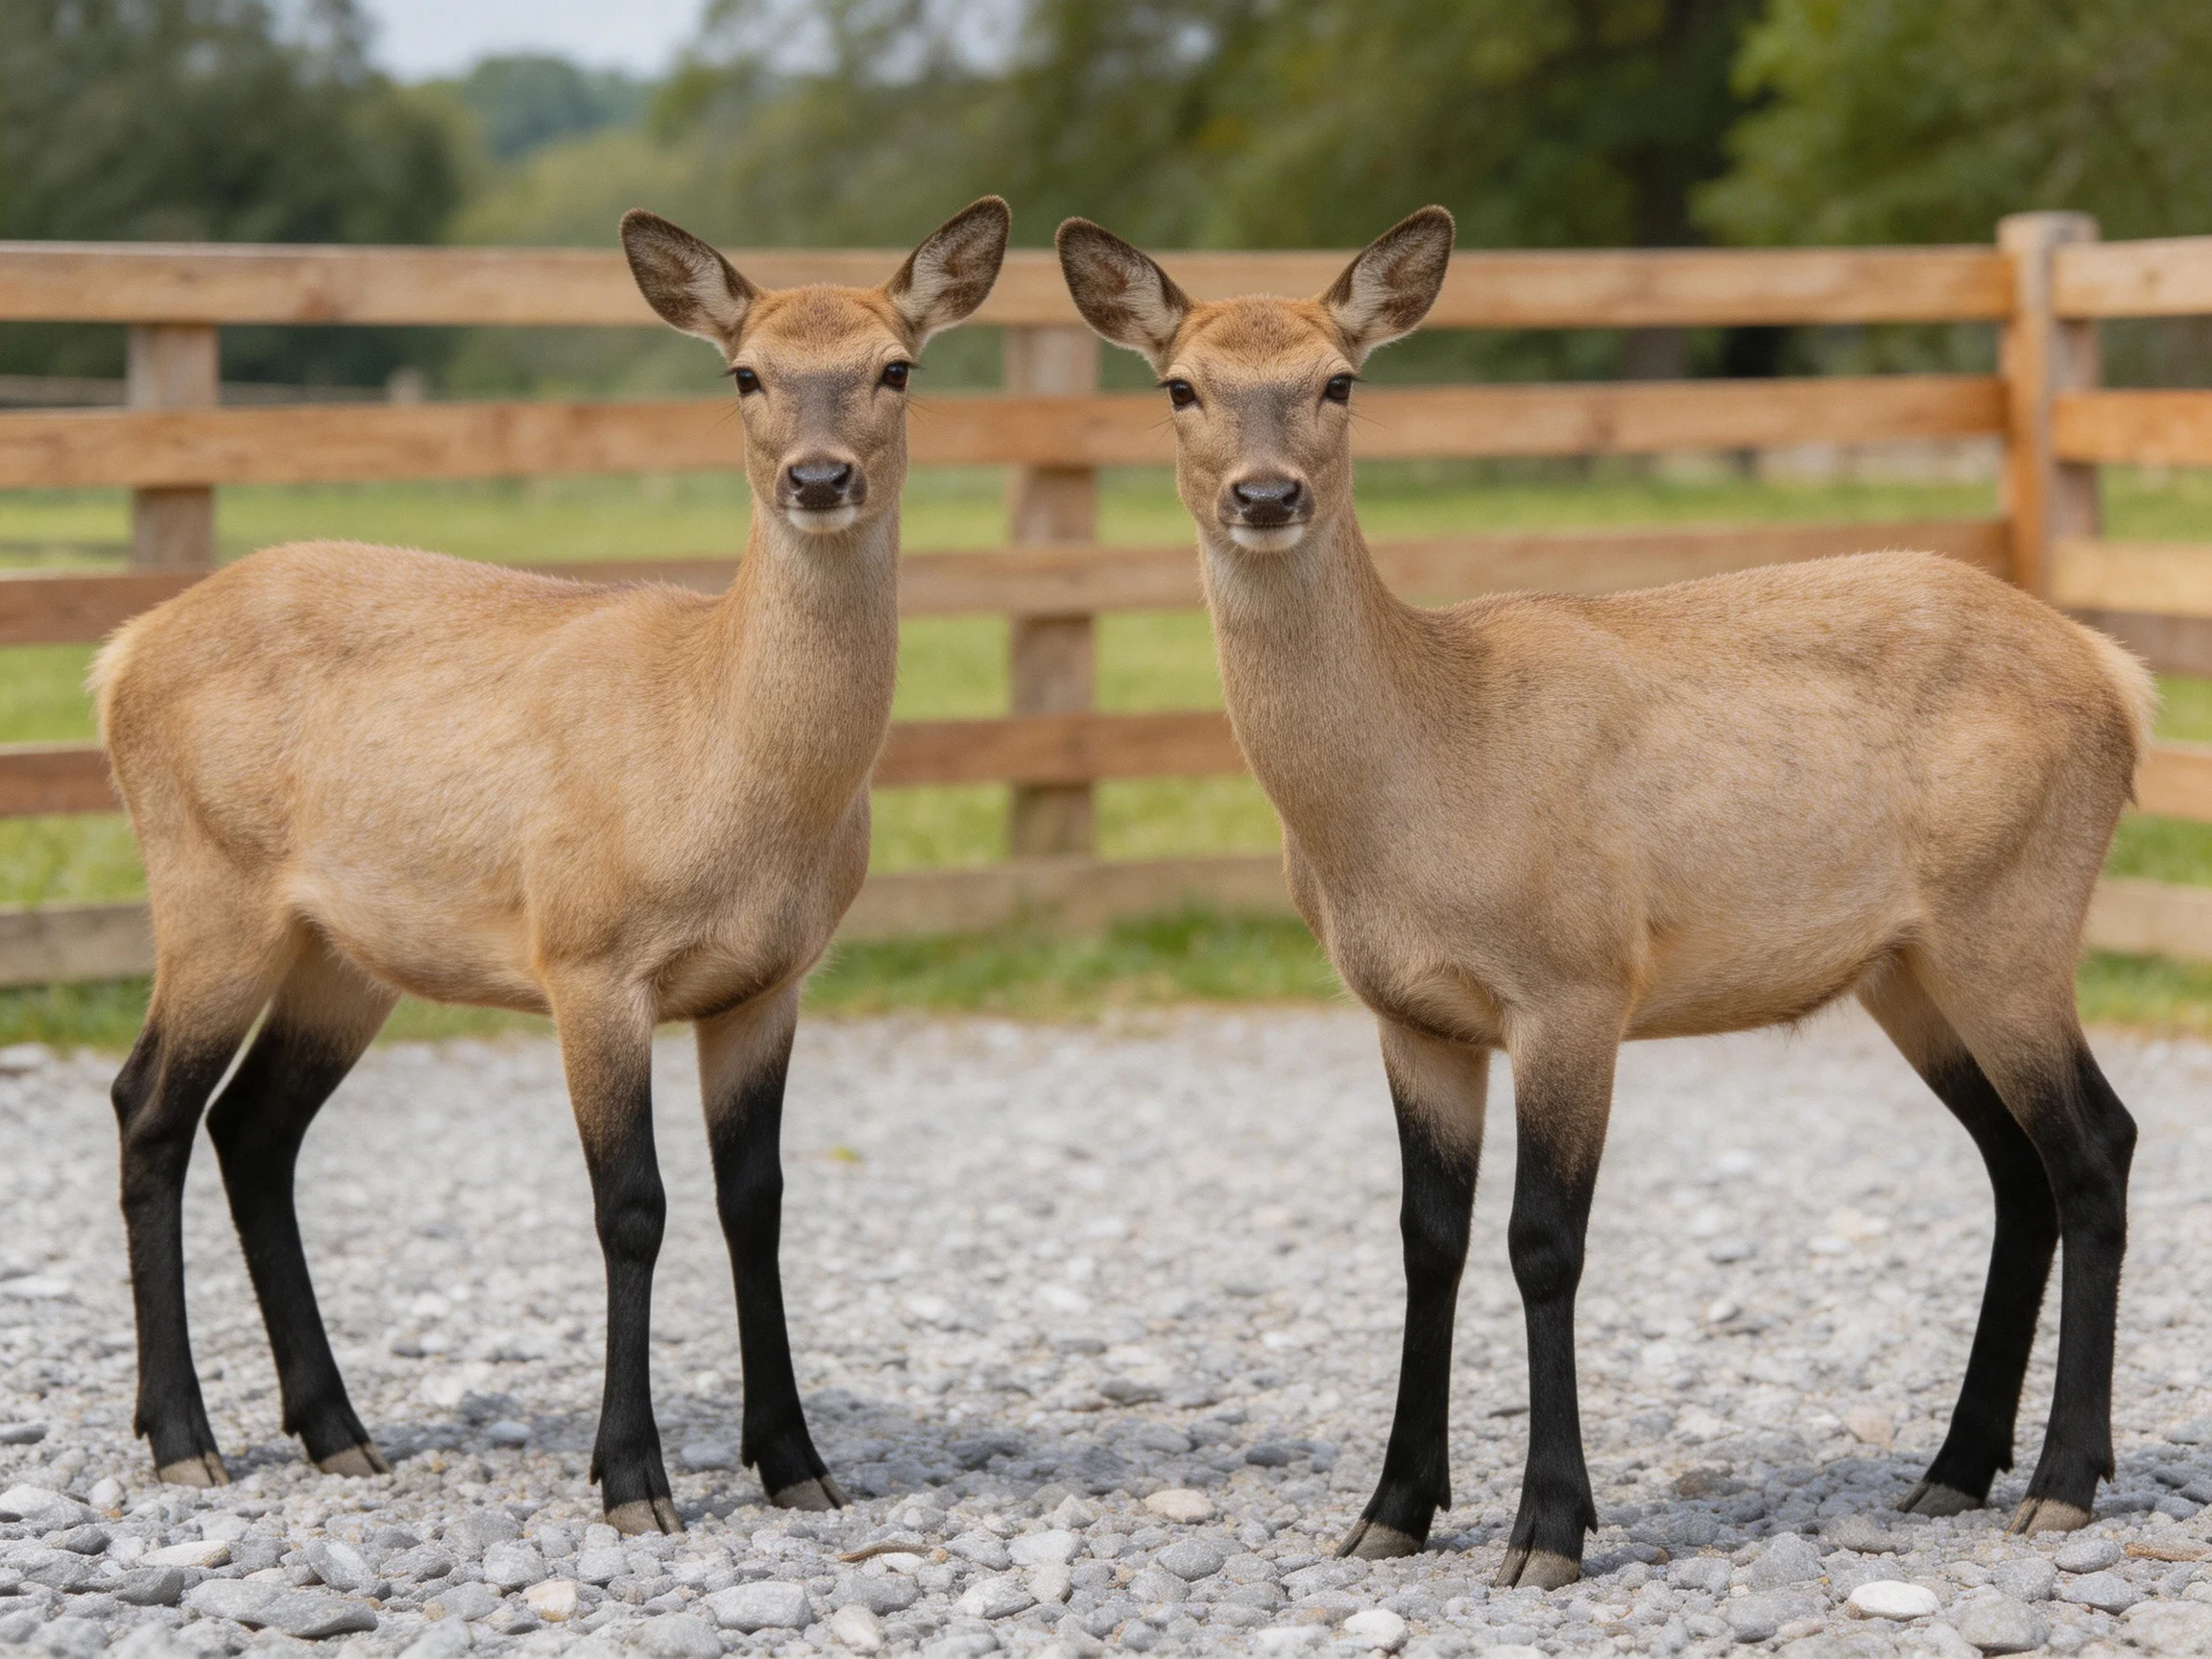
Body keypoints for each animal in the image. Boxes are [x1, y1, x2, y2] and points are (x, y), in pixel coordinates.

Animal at [90, 197, 1011, 1533]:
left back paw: (337, 1431)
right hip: (208, 884)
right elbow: (632, 1206)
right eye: (746, 373)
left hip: (344, 950)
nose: (818, 477)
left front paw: (797, 1462)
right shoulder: (589, 955)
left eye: (897, 367)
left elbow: (757, 1203)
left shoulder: (770, 983)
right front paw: (632, 1478)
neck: (728, 775)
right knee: (150, 1106)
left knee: (255, 1128)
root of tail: (119, 655)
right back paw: (180, 1438)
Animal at [1057, 207, 2151, 1587]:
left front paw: (1549, 1528)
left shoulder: (1574, 979)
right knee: (2018, 1167)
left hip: (2013, 916)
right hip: (1908, 966)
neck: (1411, 783)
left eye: (1339, 381)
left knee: (2097, 1147)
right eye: (1180, 386)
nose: (1265, 495)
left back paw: (2061, 1482)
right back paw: (1954, 1468)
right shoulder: (1408, 1014)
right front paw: (1392, 1510)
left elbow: (1542, 1242)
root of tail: (2119, 676)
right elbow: (1426, 1241)